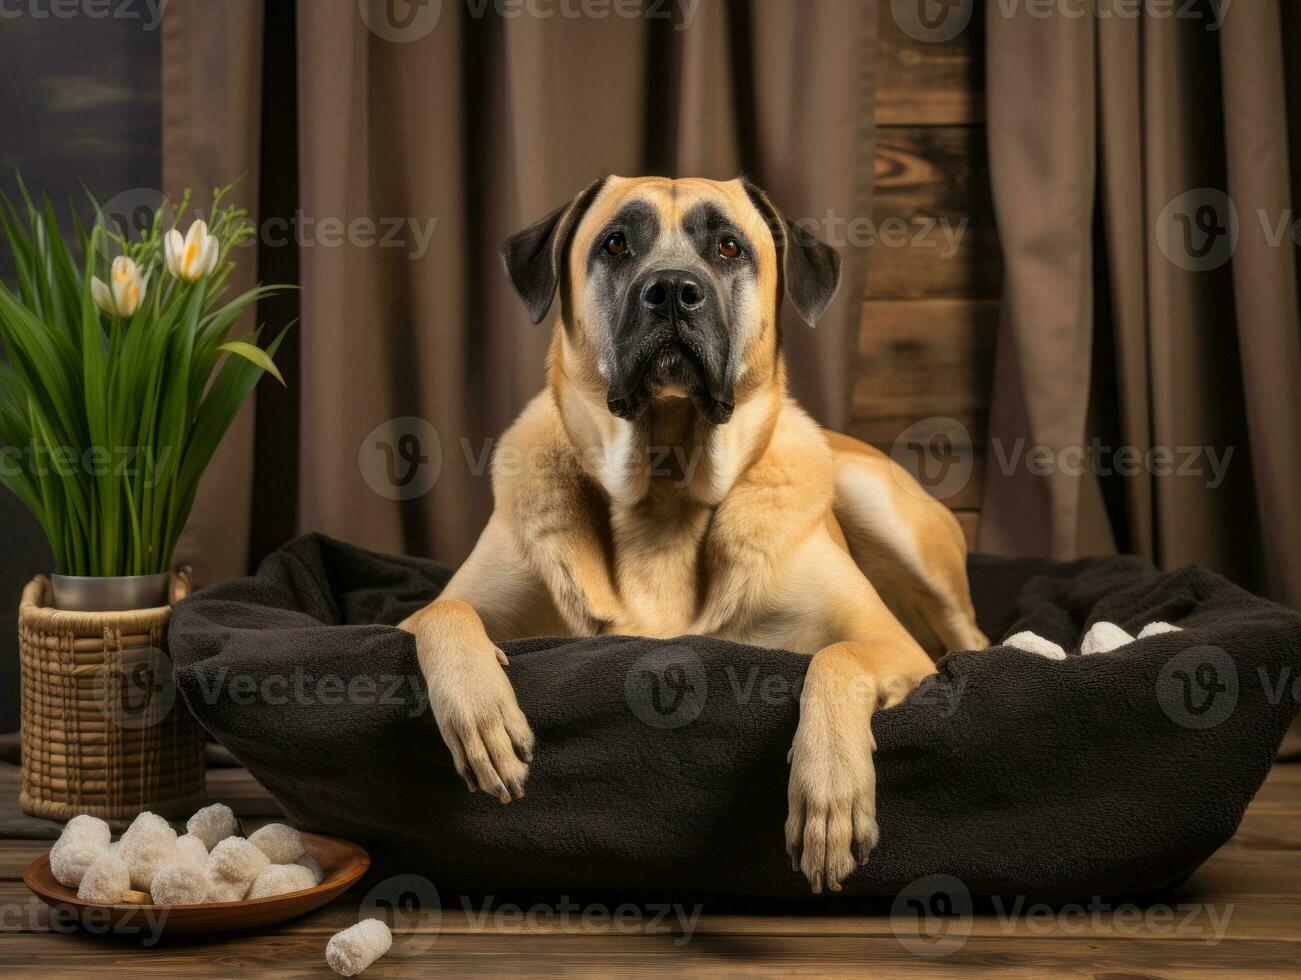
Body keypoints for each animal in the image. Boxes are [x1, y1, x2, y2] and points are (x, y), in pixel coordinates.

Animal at [395, 175, 983, 895]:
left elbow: (836, 659)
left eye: (728, 246)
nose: (673, 289)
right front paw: (480, 712)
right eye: (615, 243)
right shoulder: (424, 617)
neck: (665, 487)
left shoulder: (889, 642)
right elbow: (443, 612)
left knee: (973, 637)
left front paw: (829, 793)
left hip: (878, 506)